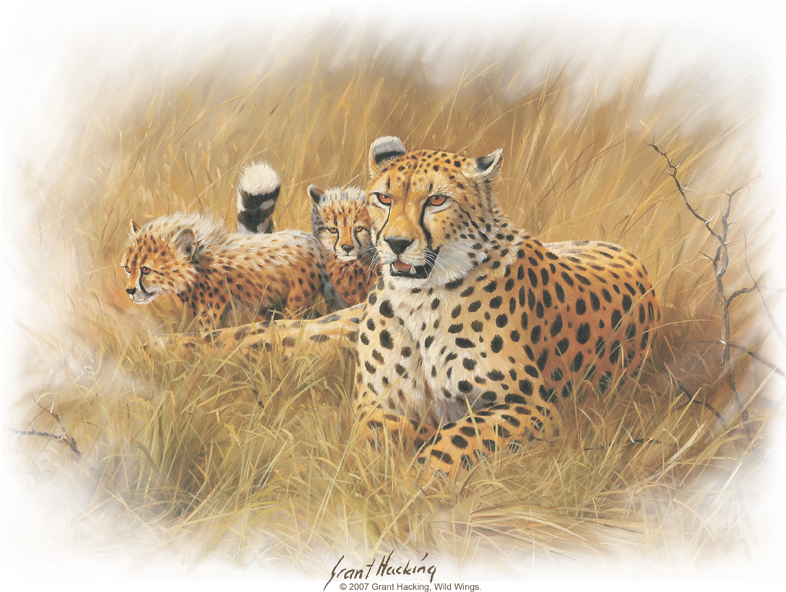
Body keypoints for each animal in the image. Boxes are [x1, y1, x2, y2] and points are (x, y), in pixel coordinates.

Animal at [121, 212, 325, 330]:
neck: (198, 264)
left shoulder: (210, 316)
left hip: (295, 304)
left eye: (146, 270)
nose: (129, 291)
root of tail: (313, 241)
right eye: (128, 268)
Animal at [162, 135, 661, 479]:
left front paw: (418, 481)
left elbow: (458, 438)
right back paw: (161, 353)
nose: (396, 243)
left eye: (436, 199)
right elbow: (374, 433)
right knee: (244, 337)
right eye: (384, 198)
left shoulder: (530, 407)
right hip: (324, 328)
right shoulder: (377, 401)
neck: (423, 298)